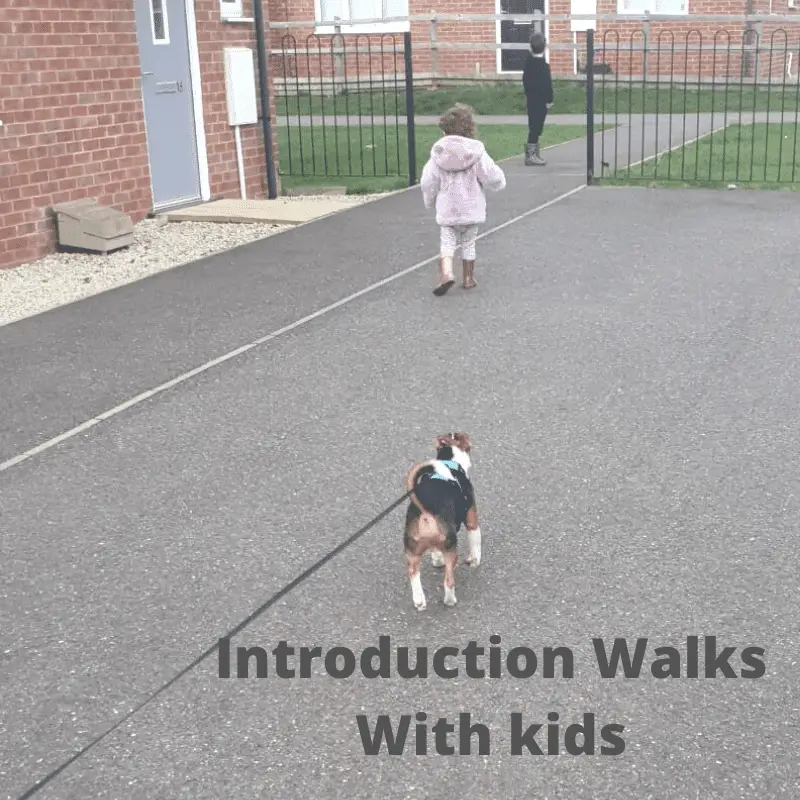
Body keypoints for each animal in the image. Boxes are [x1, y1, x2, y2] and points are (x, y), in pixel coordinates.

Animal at [400, 434, 482, 608]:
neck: (449, 462)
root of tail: (425, 510)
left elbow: (435, 553)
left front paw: (437, 561)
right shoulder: (472, 521)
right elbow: (475, 544)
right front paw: (474, 561)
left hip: (412, 553)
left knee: (414, 576)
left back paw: (419, 601)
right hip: (451, 549)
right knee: (448, 581)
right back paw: (450, 600)